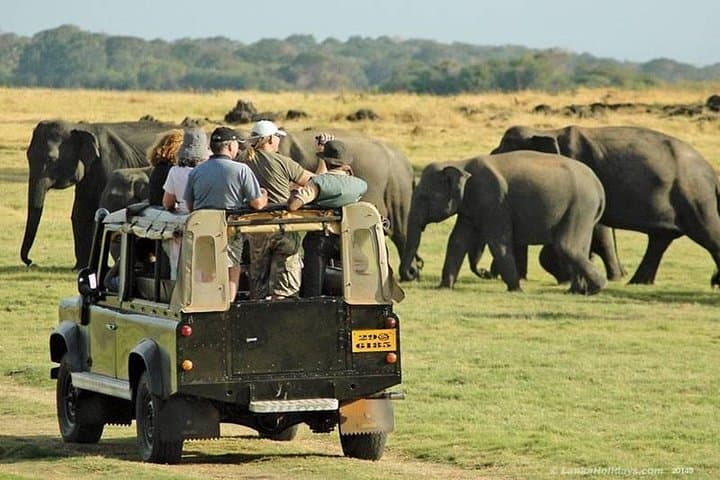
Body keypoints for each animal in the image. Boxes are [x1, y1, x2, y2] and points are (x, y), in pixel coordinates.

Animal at [22, 120, 176, 269]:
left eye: (51, 159)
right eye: (27, 156)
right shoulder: (89, 172)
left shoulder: (110, 163)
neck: (81, 127)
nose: (30, 262)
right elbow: (81, 212)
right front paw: (81, 267)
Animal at [399, 151, 607, 294]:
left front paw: (516, 290)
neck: (461, 163)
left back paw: (596, 287)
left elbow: (498, 242)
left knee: (566, 246)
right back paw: (577, 291)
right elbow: (457, 241)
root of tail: (599, 186)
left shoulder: (493, 200)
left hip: (580, 206)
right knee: (580, 247)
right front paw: (443, 287)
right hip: (584, 212)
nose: (413, 272)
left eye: (424, 197)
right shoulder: (470, 206)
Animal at [492, 125, 720, 286]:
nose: (488, 274)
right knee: (659, 240)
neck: (548, 130)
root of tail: (711, 171)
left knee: (707, 232)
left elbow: (596, 230)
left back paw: (714, 282)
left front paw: (567, 275)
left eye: (505, 151)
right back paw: (637, 282)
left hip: (695, 196)